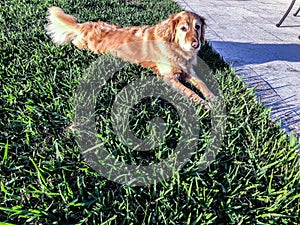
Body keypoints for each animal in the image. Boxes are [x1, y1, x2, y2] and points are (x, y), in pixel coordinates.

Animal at [47, 6, 214, 106]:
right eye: (183, 28)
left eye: (197, 27)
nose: (196, 44)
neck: (177, 49)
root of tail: (84, 26)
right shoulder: (169, 77)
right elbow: (190, 91)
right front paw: (205, 104)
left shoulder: (188, 71)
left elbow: (202, 84)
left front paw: (213, 97)